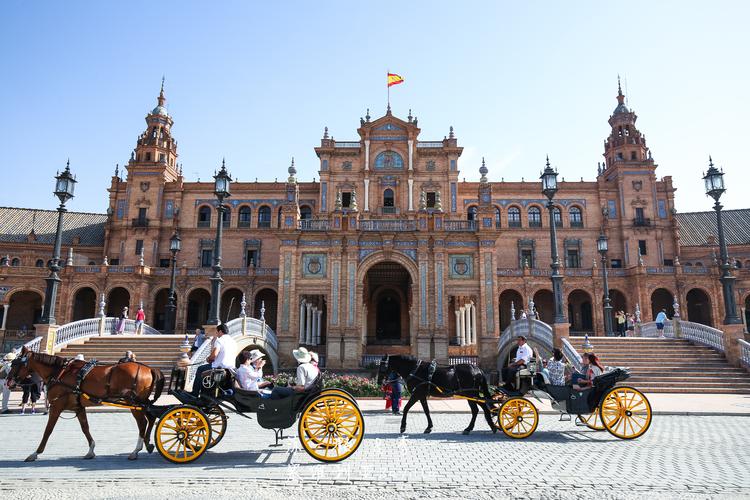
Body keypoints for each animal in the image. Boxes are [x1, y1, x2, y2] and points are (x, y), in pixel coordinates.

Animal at [8, 348, 164, 460]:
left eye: (15, 364)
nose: (8, 381)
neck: (60, 373)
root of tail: (150, 368)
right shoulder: (78, 407)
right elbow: (85, 428)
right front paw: (91, 450)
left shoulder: (56, 406)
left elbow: (48, 430)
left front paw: (35, 453)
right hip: (141, 402)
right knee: (150, 418)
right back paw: (148, 444)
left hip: (133, 402)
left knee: (142, 423)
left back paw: (136, 450)